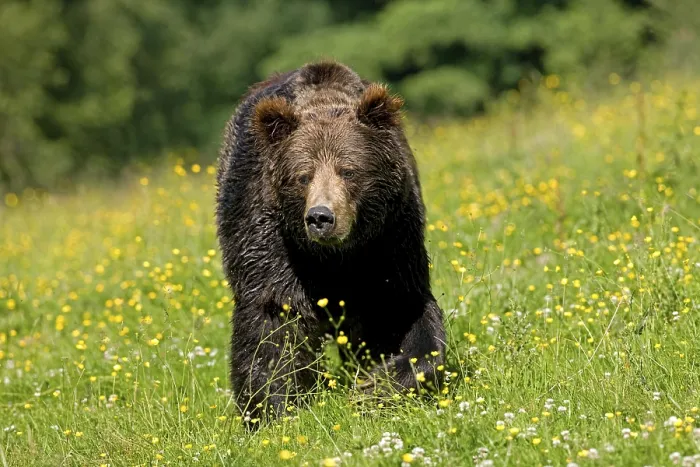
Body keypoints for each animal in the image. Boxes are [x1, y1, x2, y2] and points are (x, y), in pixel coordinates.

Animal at [215, 60, 446, 422]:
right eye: (303, 176)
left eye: (348, 170)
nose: (321, 217)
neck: (335, 255)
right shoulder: (269, 236)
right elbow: (274, 317)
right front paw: (271, 409)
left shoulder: (391, 236)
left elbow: (400, 308)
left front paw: (377, 385)